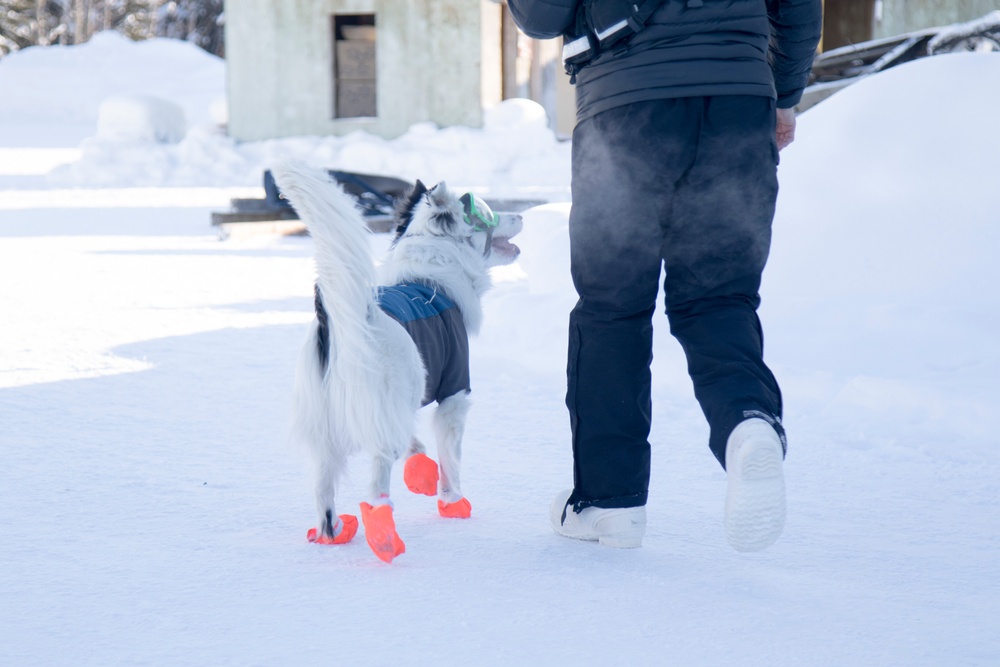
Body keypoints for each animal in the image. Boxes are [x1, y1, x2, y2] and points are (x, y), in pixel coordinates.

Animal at [274, 163, 524, 564]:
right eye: (485, 213)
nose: (522, 216)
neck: (431, 275)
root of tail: (343, 321)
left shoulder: (400, 402)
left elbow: (414, 442)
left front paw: (420, 471)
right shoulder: (454, 392)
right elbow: (450, 459)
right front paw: (452, 503)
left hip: (325, 431)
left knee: (323, 493)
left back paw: (335, 533)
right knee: (376, 489)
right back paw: (384, 540)